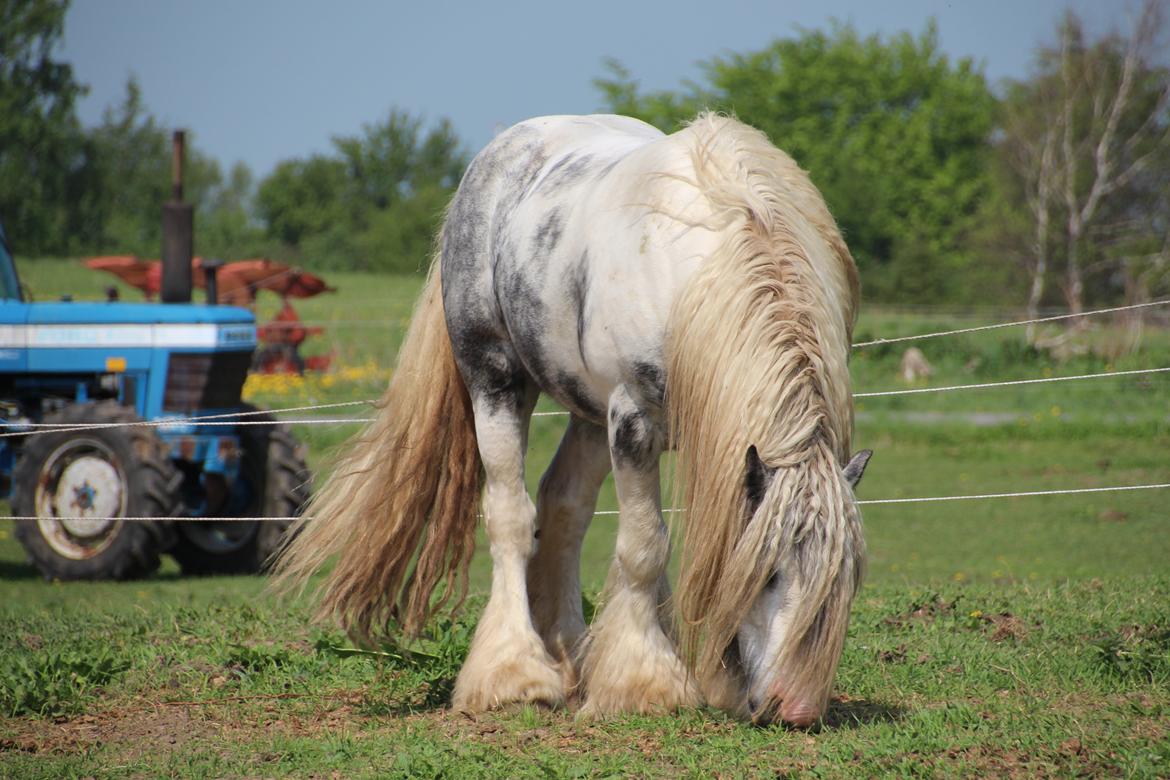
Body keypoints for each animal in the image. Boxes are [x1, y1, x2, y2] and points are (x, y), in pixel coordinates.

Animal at [273, 112, 875, 729]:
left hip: (588, 415)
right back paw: (514, 673)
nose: (795, 708)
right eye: (770, 572)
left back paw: (569, 663)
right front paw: (644, 683)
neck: (698, 278)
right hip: (497, 382)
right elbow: (645, 547)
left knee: (563, 509)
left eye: (847, 579)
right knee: (512, 517)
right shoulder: (633, 421)